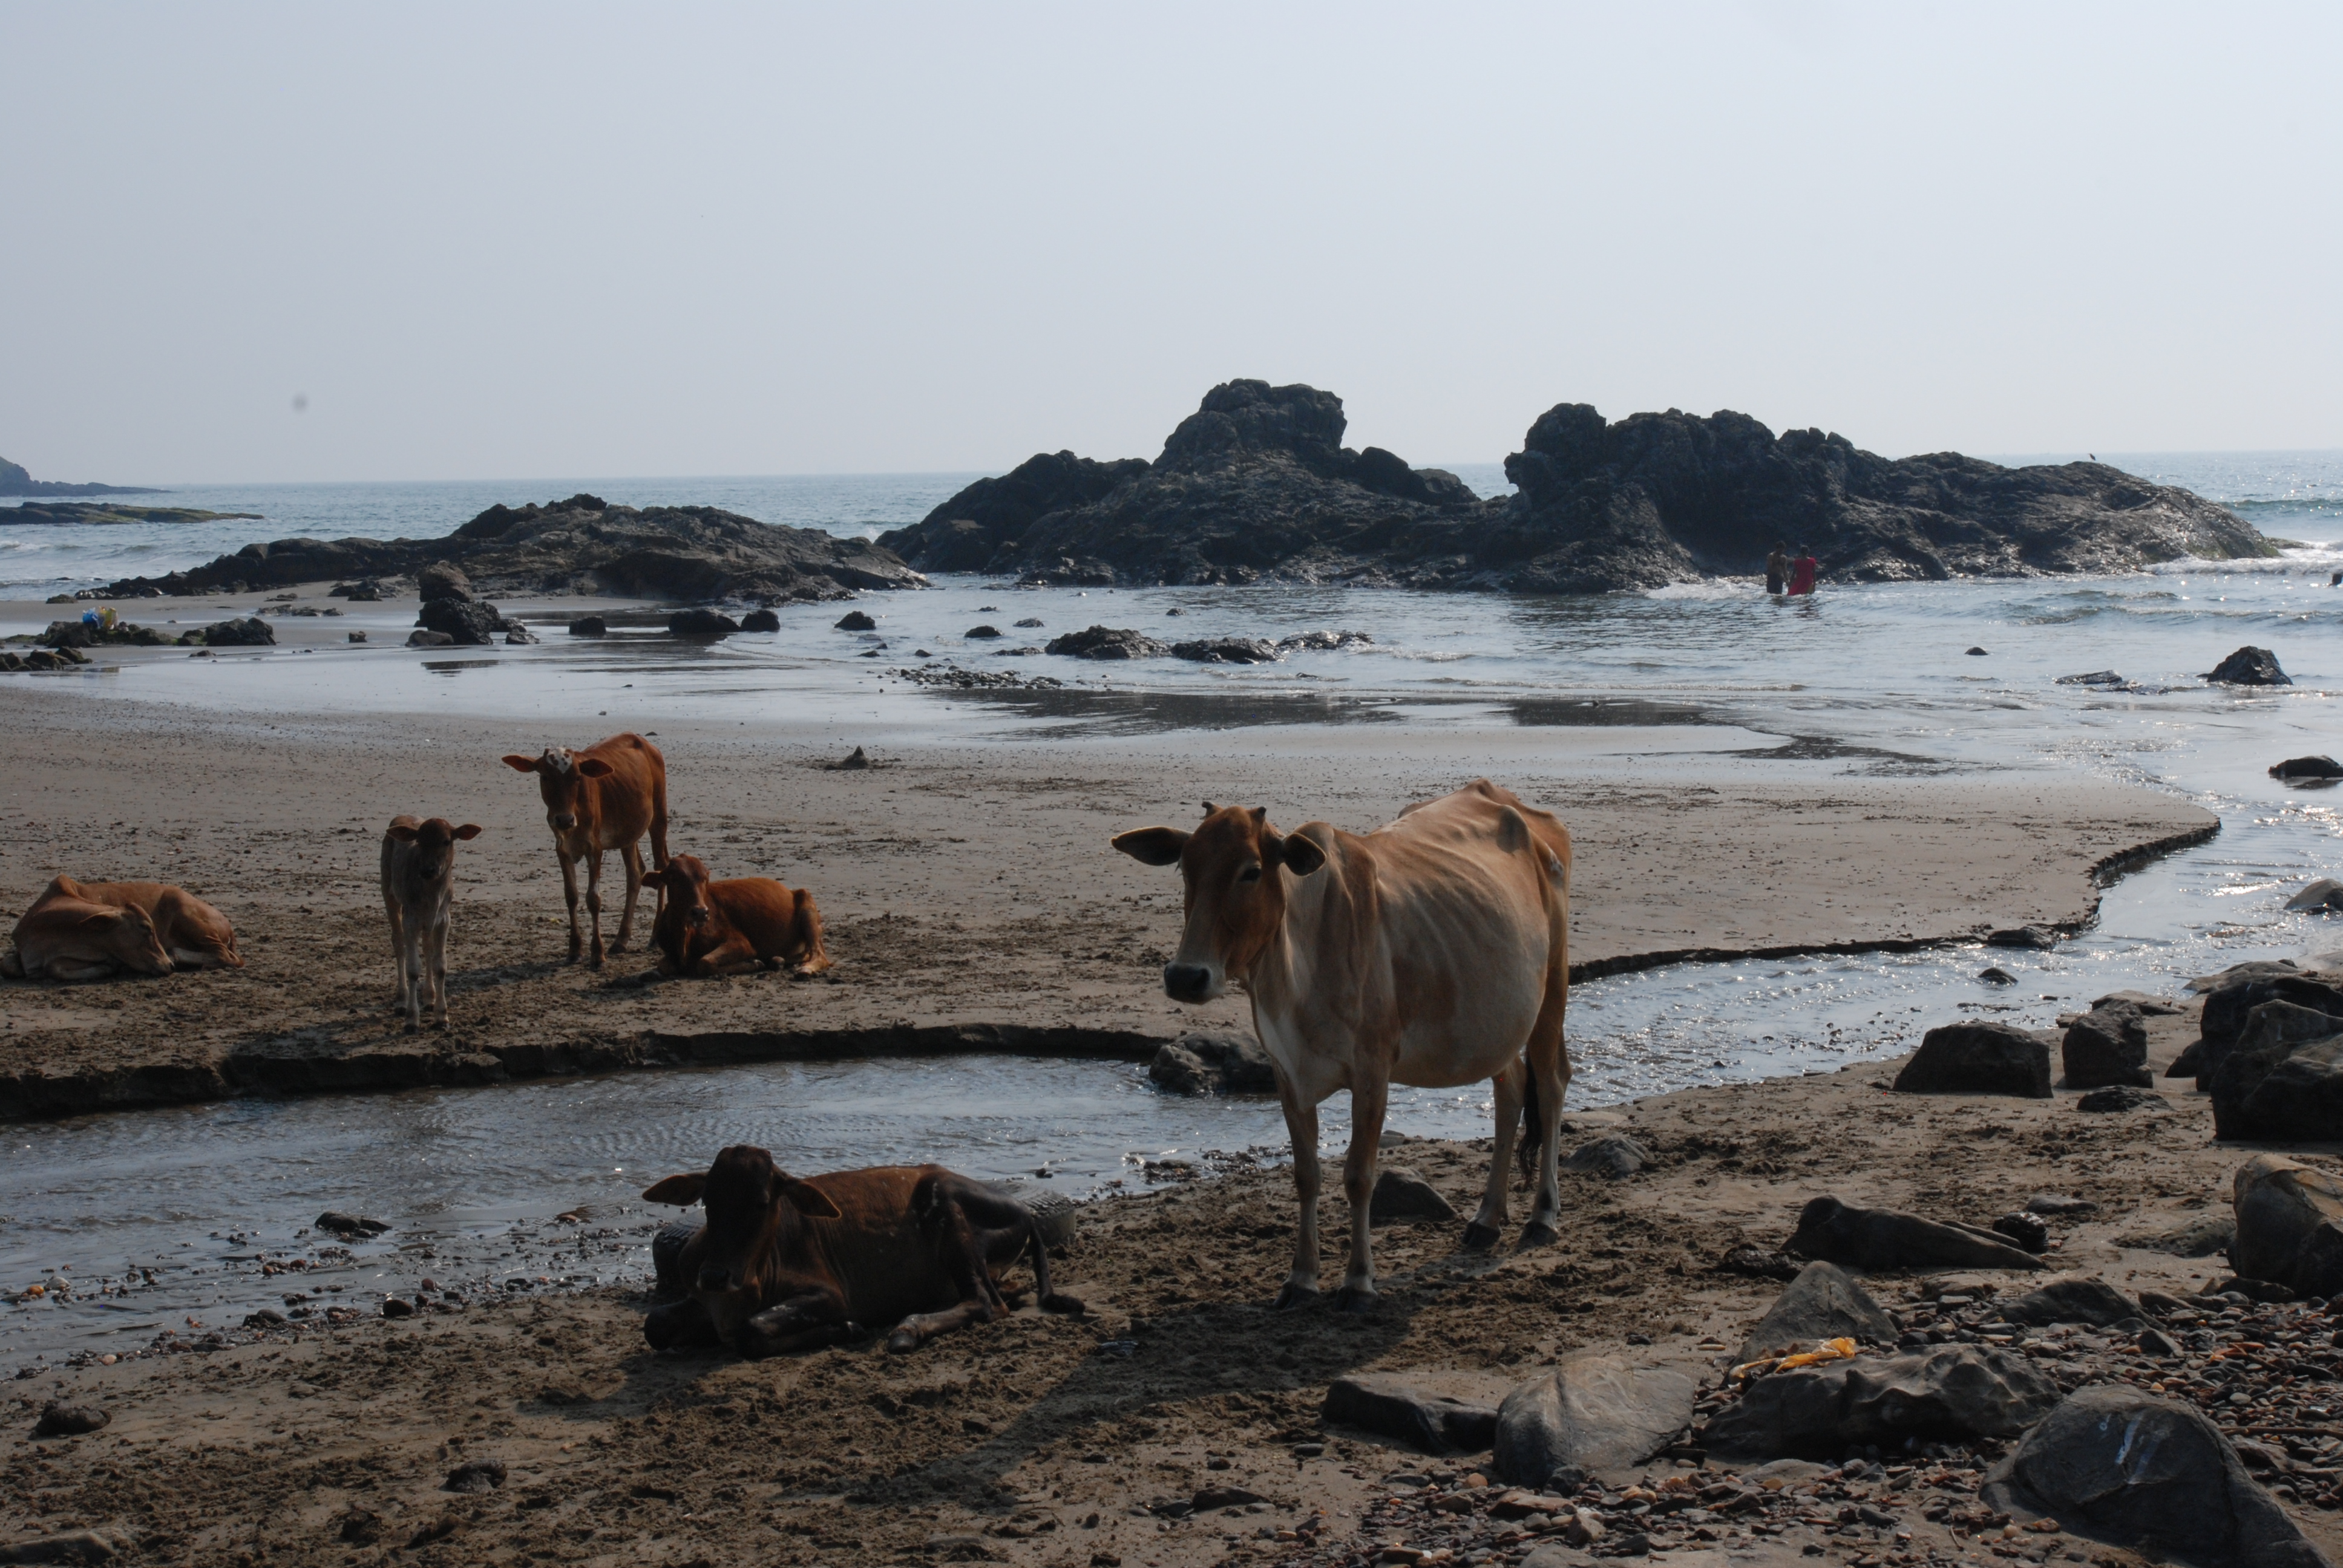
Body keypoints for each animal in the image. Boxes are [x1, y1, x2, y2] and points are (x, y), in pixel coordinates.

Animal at [380, 815, 482, 1032]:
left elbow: (440, 965)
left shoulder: (444, 919)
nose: (428, 870)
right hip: (388, 891)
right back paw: (401, 1001)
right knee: (398, 944)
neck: (431, 897)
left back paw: (429, 998)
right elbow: (412, 968)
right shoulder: (411, 919)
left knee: (427, 947)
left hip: (428, 922)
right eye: (419, 841)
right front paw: (411, 1020)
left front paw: (442, 1016)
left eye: (446, 841)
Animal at [500, 732, 670, 967]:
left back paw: (654, 937)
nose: (564, 819)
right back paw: (621, 939)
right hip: (628, 833)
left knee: (661, 866)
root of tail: (645, 743)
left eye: (578, 778)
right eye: (544, 777)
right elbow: (571, 896)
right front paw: (574, 950)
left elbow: (593, 899)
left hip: (659, 816)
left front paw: (597, 953)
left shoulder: (594, 848)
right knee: (635, 873)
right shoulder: (562, 849)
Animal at [639, 1145, 1083, 1357]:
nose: (715, 1276)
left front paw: (847, 1329)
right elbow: (655, 1324)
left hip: (946, 1210)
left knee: (984, 1303)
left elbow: (753, 1331)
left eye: (762, 1202)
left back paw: (907, 1330)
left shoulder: (829, 1295)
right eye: (708, 1200)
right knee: (1001, 1294)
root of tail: (1023, 1210)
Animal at [646, 853, 830, 978]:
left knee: (819, 954)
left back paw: (804, 968)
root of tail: (792, 891)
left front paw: (754, 963)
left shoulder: (741, 943)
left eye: (705, 878)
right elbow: (663, 966)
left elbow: (704, 962)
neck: (684, 936)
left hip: (808, 908)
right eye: (673, 879)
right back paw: (778, 960)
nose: (701, 913)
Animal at [1112, 779, 1572, 1313]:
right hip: (1496, 1023)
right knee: (1512, 1087)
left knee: (1552, 1084)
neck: (1297, 968)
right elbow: (1307, 1173)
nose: (1186, 976)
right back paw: (1486, 1220)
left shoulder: (1373, 1072)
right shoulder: (1287, 1072)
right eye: (1185, 867)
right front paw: (1301, 1278)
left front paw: (1358, 1280)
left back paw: (1543, 1216)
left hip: (1552, 989)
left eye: (1252, 871)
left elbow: (1358, 1174)